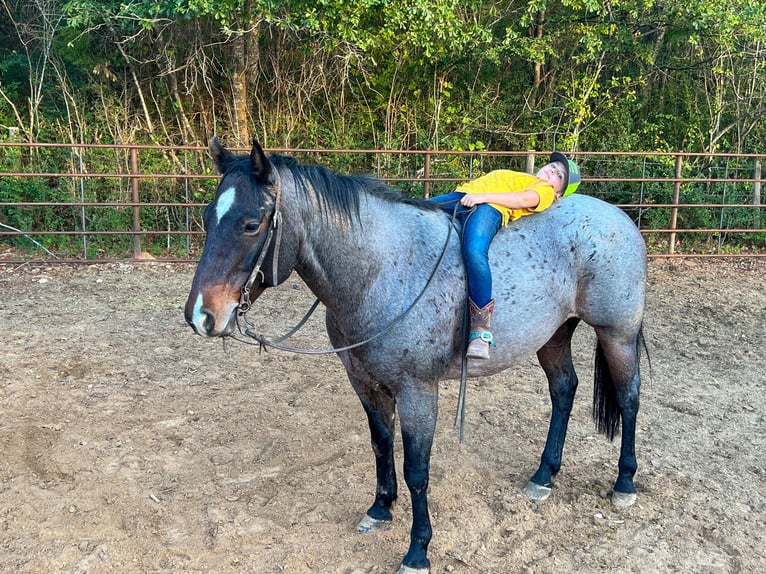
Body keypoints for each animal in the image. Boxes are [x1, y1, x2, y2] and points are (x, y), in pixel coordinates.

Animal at [184, 140, 648, 574]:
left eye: (250, 223)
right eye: (208, 217)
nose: (200, 315)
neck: (381, 273)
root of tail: (619, 217)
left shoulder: (417, 392)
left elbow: (417, 471)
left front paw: (418, 549)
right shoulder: (364, 383)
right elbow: (380, 445)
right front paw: (380, 507)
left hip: (617, 334)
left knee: (629, 398)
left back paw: (624, 483)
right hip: (553, 335)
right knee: (564, 390)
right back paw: (544, 475)